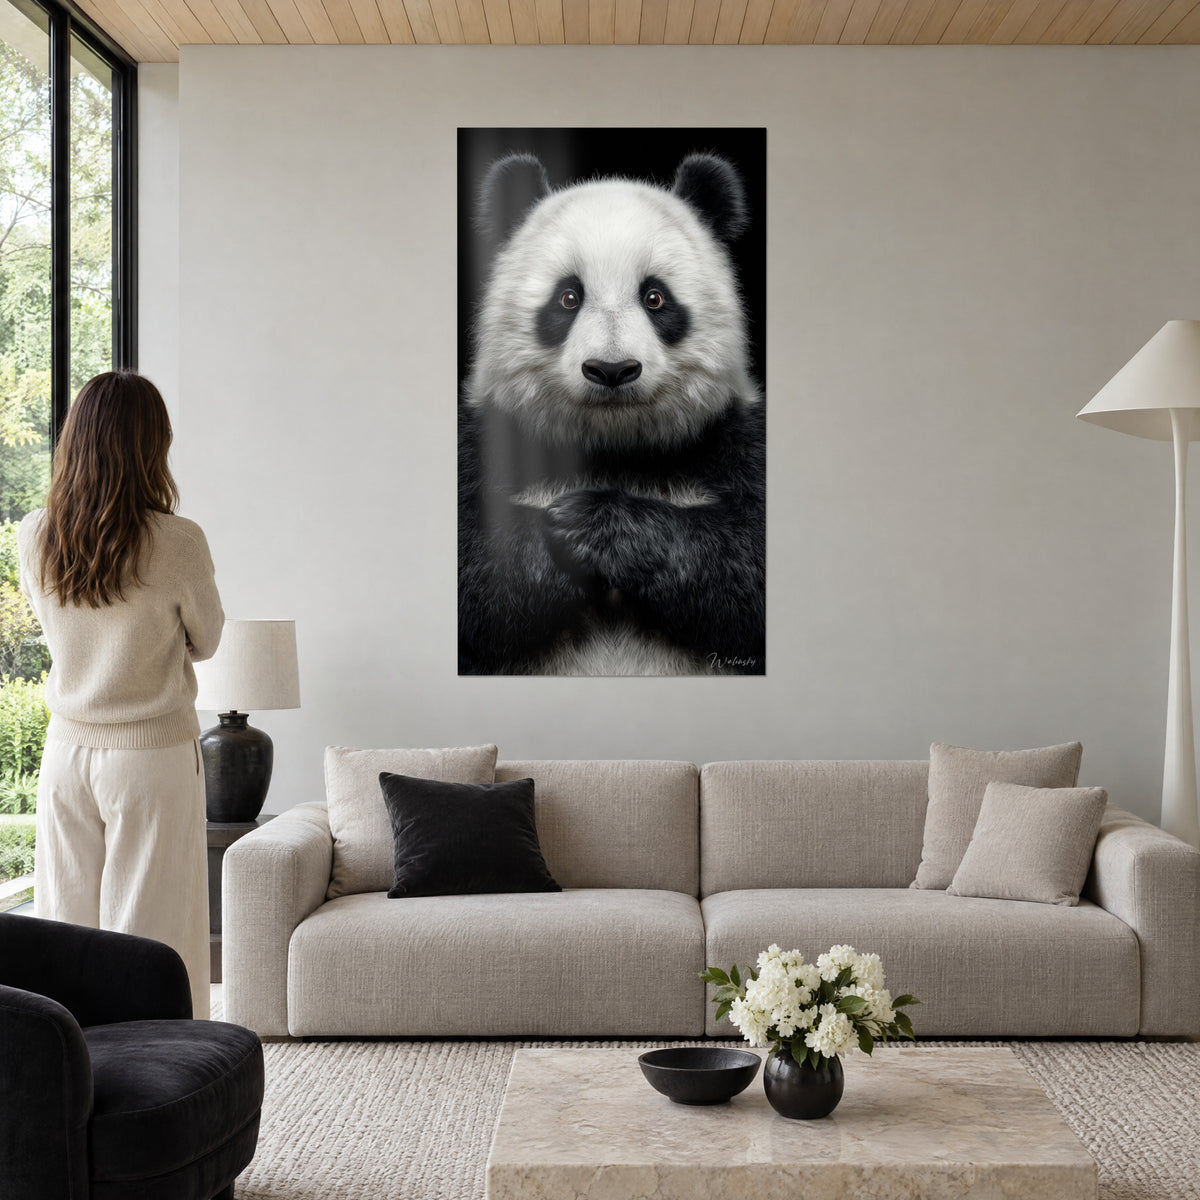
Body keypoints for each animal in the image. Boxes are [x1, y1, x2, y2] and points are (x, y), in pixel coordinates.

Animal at [458, 150, 765, 676]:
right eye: (568, 296)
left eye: (655, 297)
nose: (612, 370)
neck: (613, 447)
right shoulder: (480, 440)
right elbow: (473, 565)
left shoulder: (735, 441)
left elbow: (749, 565)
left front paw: (598, 527)